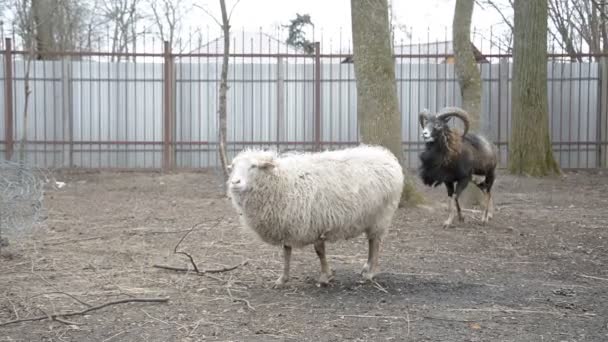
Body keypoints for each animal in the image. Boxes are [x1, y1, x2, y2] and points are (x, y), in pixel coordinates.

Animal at [224, 144, 404, 286]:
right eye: (233, 167)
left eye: (253, 166)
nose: (235, 182)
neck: (281, 181)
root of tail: (385, 155)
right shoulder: (287, 223)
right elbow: (286, 252)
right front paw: (283, 279)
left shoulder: (316, 223)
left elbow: (319, 252)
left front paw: (325, 277)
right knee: (371, 242)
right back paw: (366, 267)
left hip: (381, 216)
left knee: (375, 243)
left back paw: (370, 272)